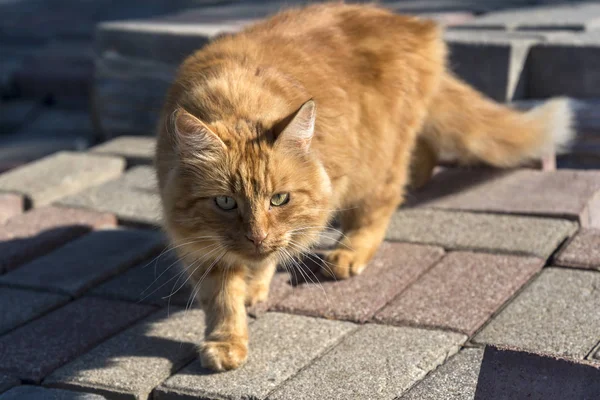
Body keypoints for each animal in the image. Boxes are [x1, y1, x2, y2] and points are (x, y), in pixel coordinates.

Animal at [155, 3, 572, 372]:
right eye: (225, 202)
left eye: (279, 199)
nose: (256, 237)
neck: (239, 101)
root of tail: (412, 23)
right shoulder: (202, 246)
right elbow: (224, 297)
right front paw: (231, 329)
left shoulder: (307, 211)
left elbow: (267, 259)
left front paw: (250, 292)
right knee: (426, 150)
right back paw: (418, 177)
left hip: (377, 160)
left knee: (382, 205)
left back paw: (350, 251)